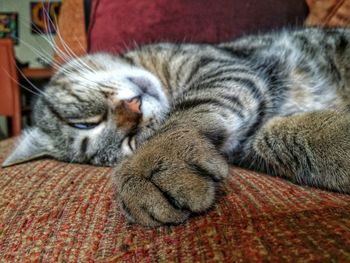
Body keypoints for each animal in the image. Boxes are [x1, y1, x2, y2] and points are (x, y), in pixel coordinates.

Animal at [2, 27, 350, 228]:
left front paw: (158, 159)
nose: (134, 111)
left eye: (84, 122)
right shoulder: (247, 140)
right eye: (131, 141)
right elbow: (284, 139)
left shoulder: (222, 65)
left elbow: (195, 107)